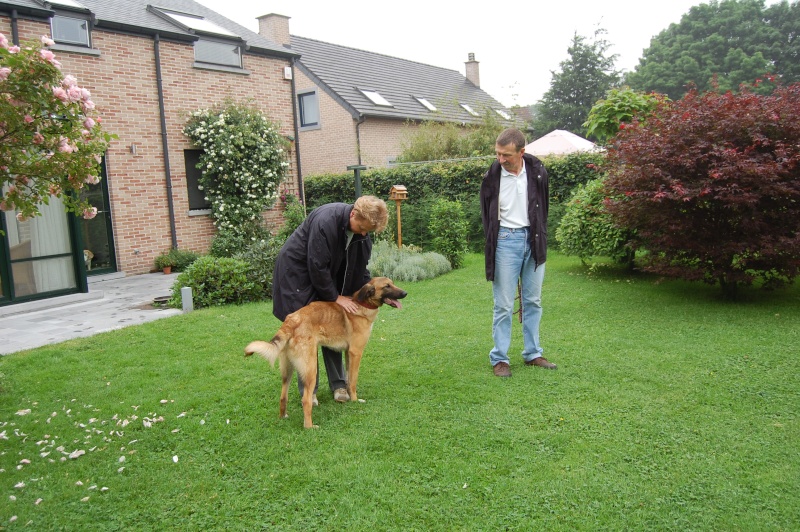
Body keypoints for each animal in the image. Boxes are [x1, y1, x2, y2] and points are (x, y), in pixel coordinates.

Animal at [244, 278, 406, 428]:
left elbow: (348, 379)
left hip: (288, 370)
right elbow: (353, 381)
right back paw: (309, 426)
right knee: (306, 400)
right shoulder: (356, 353)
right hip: (311, 369)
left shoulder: (348, 353)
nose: (405, 293)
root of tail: (291, 321)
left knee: (283, 396)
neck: (362, 304)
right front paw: (354, 400)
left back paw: (283, 417)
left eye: (392, 283)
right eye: (387, 286)